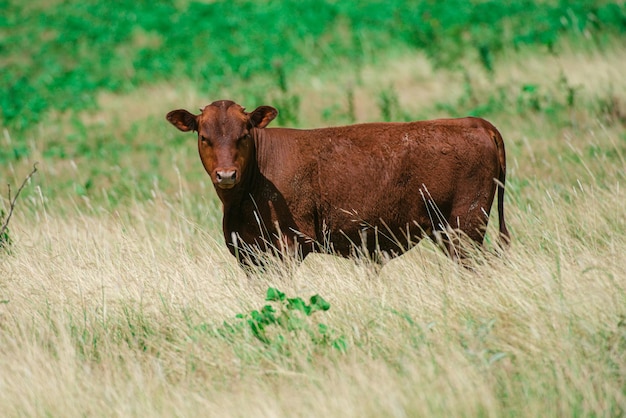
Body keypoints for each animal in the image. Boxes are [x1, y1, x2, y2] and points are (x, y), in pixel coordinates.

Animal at [166, 99, 508, 266]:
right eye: (204, 136)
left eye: (244, 134)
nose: (226, 175)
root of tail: (475, 123)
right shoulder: (247, 251)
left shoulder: (289, 245)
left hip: (465, 226)